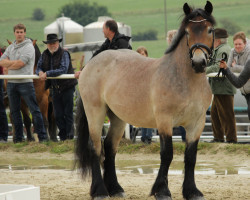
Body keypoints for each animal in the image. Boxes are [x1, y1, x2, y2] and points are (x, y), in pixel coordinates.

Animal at [75, 1, 215, 200]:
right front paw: (161, 191)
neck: (184, 80)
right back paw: (100, 191)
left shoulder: (197, 123)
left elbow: (191, 157)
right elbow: (167, 154)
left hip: (117, 117)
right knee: (95, 147)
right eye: (187, 32)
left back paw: (115, 188)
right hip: (95, 113)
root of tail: (91, 64)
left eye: (209, 30)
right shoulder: (164, 121)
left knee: (110, 147)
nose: (198, 62)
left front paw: (192, 191)